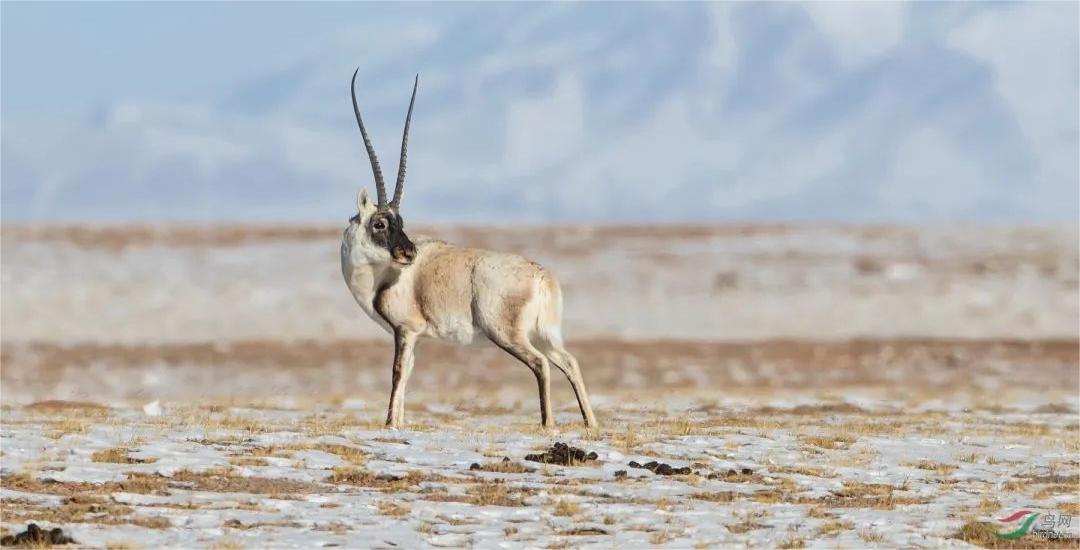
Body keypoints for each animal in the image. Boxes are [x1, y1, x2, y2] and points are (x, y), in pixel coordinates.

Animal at [341, 69, 600, 427]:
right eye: (381, 223)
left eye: (398, 221)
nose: (409, 254)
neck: (381, 276)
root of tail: (543, 278)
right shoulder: (415, 337)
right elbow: (408, 375)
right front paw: (401, 423)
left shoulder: (405, 330)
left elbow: (397, 374)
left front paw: (391, 424)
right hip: (544, 335)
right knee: (569, 362)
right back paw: (591, 423)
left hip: (508, 335)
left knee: (541, 364)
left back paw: (547, 425)